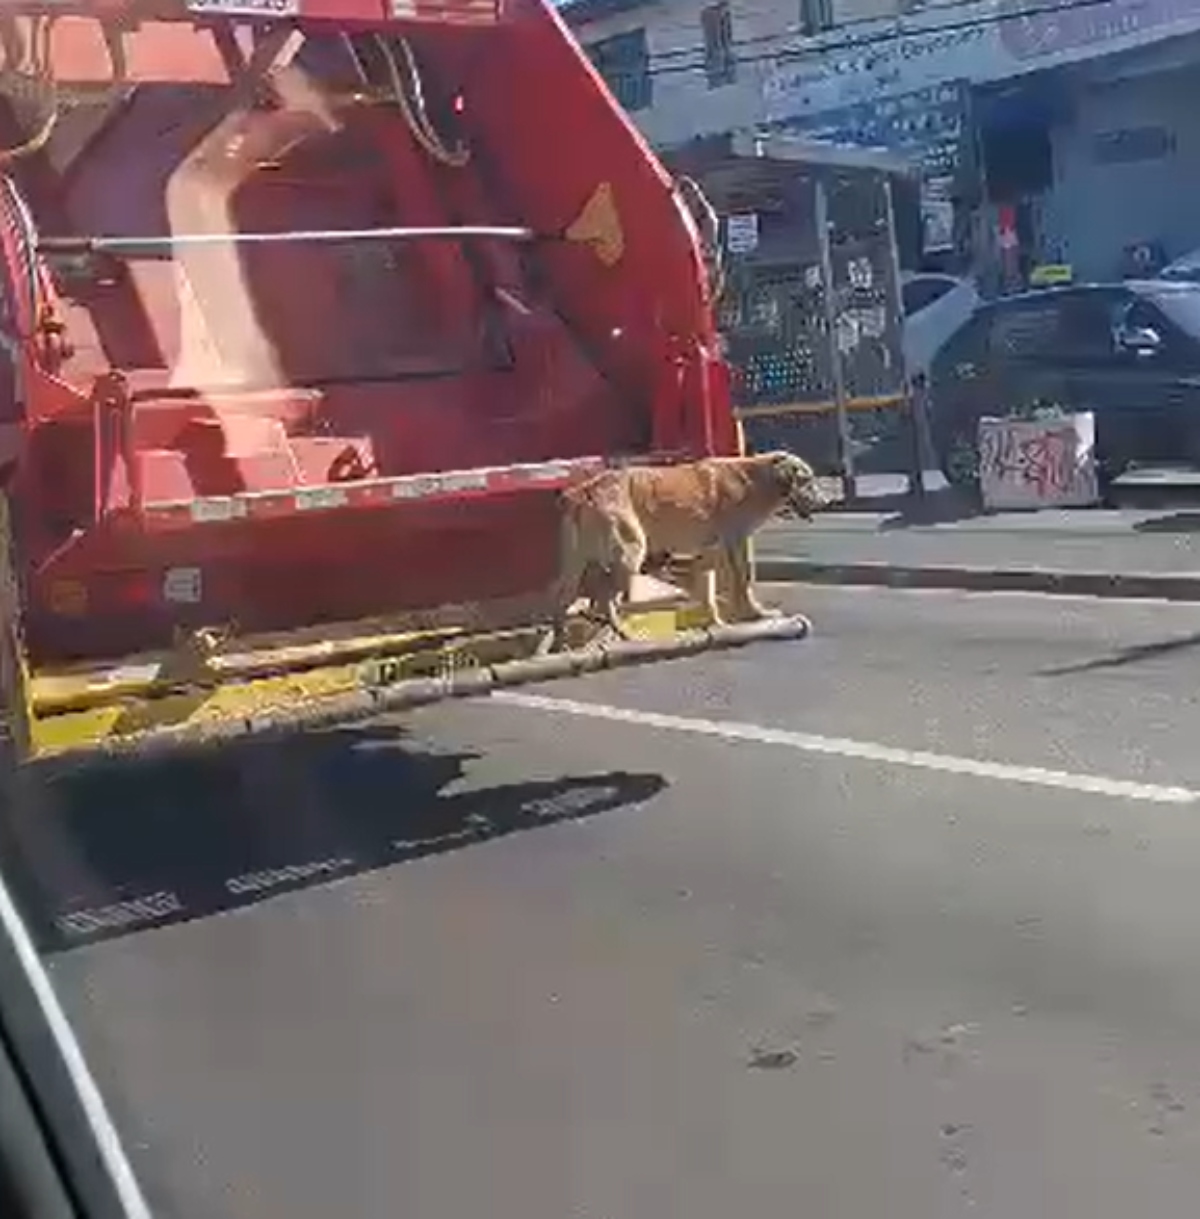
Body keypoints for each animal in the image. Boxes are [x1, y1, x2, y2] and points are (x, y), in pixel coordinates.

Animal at [541, 451, 824, 658]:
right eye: (807, 480)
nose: (827, 502)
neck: (756, 478)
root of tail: (584, 491)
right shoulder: (735, 543)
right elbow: (742, 583)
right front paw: (756, 615)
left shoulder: (711, 551)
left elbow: (708, 589)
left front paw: (718, 625)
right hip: (631, 554)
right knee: (604, 596)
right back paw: (621, 633)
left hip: (576, 564)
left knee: (562, 598)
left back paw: (559, 644)